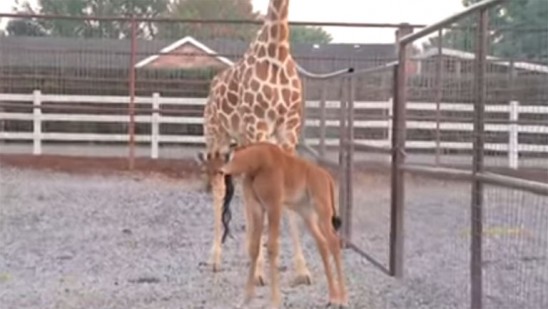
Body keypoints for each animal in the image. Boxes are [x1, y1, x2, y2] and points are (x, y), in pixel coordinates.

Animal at [199, 0, 354, 286]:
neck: (277, 52)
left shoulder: (287, 132)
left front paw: (302, 269)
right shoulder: (257, 127)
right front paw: (259, 271)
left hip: (240, 141)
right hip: (216, 137)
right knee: (219, 188)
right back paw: (215, 258)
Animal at [199, 143, 348, 308]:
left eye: (220, 170)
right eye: (205, 170)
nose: (213, 187)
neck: (255, 162)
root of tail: (327, 177)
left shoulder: (274, 205)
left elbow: (272, 247)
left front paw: (275, 301)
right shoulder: (257, 207)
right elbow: (254, 248)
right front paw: (246, 298)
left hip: (323, 211)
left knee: (333, 242)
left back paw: (342, 299)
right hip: (306, 212)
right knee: (322, 242)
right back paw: (332, 296)